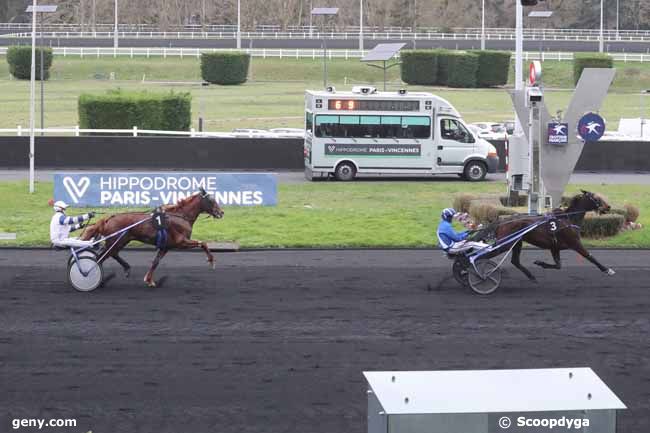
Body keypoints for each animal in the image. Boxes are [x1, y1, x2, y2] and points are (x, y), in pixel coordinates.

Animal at [81, 188, 224, 286]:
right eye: (211, 200)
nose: (221, 212)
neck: (180, 216)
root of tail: (108, 219)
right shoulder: (181, 242)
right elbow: (203, 243)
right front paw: (211, 260)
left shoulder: (166, 246)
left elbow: (156, 262)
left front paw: (149, 280)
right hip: (116, 241)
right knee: (101, 257)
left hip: (121, 241)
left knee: (111, 254)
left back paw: (126, 268)